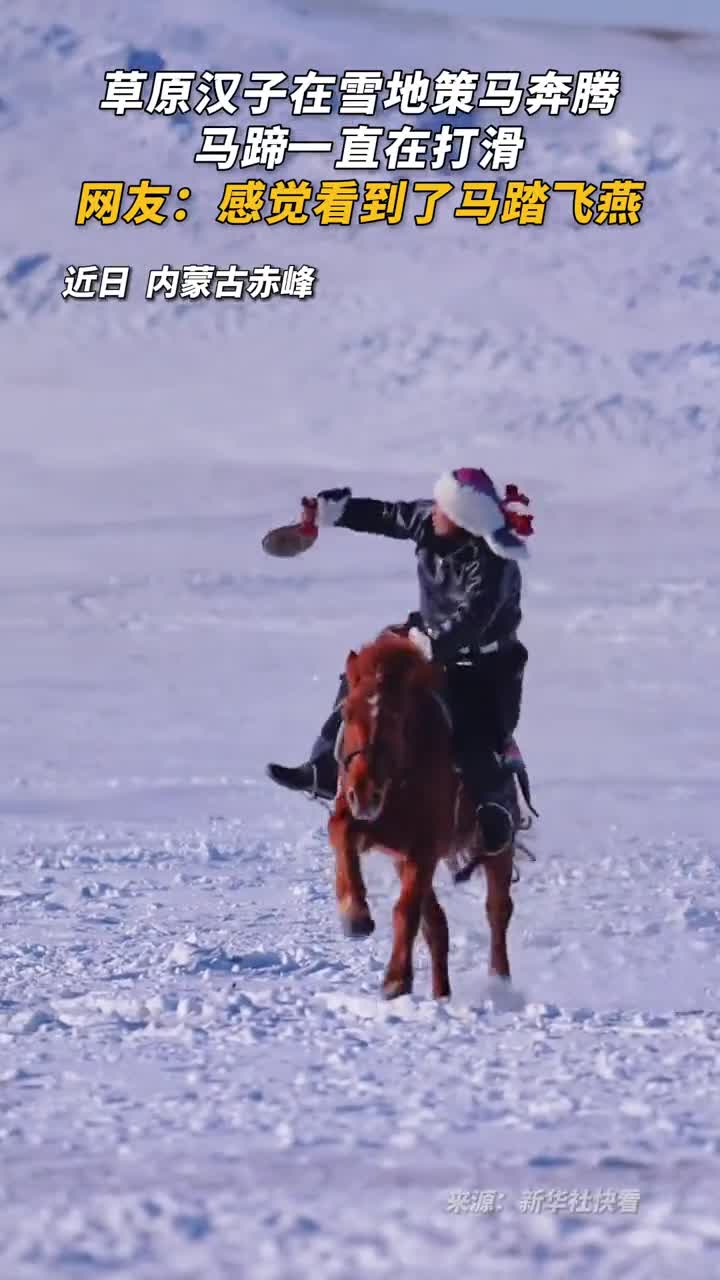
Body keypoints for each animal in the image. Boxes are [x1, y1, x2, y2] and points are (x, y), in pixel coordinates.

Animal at [328, 630, 517, 1001]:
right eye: (347, 711)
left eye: (397, 716)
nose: (365, 793)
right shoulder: (370, 828)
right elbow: (340, 832)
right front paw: (355, 916)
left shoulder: (425, 846)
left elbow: (406, 910)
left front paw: (395, 980)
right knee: (438, 925)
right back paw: (441, 993)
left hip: (498, 846)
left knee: (497, 910)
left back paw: (499, 982)